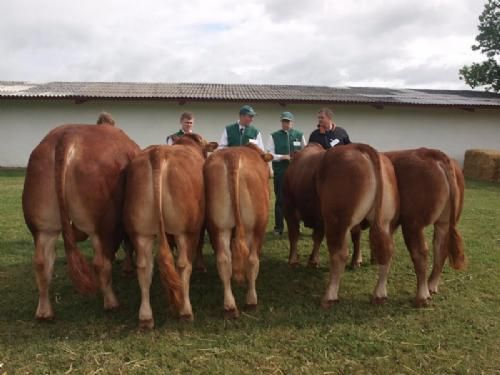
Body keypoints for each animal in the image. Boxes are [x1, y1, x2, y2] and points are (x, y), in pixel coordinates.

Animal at [21, 124, 139, 320]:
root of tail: (67, 135)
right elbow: (128, 245)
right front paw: (128, 269)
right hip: (103, 225)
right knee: (100, 263)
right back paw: (111, 302)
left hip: (43, 225)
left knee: (41, 263)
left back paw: (44, 312)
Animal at [123, 135, 217, 328]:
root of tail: (158, 153)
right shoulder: (198, 227)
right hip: (185, 231)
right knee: (183, 265)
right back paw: (186, 311)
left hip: (140, 232)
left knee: (144, 267)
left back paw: (145, 317)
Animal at [203, 144, 274, 318]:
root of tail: (233, 155)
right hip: (254, 227)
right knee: (252, 260)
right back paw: (251, 301)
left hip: (219, 227)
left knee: (223, 260)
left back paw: (229, 306)